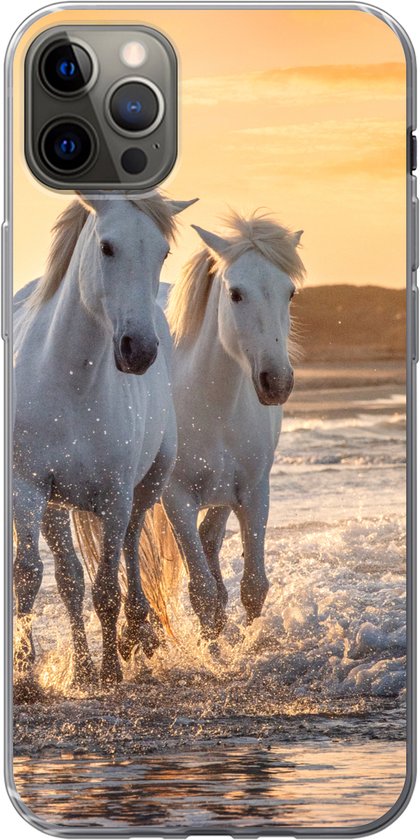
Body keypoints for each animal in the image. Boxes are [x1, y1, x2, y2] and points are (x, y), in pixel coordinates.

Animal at [13, 191, 196, 689]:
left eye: (162, 252)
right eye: (107, 247)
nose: (140, 351)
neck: (71, 383)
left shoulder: (115, 496)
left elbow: (108, 587)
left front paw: (113, 669)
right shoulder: (27, 489)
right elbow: (31, 576)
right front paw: (26, 676)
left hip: (146, 486)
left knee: (130, 552)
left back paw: (136, 634)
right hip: (57, 506)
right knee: (70, 579)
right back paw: (82, 669)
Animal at [158, 212, 305, 638]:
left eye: (289, 293)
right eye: (236, 294)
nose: (277, 382)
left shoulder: (254, 492)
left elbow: (254, 586)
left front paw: (247, 645)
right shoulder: (176, 499)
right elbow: (203, 594)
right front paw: (214, 651)